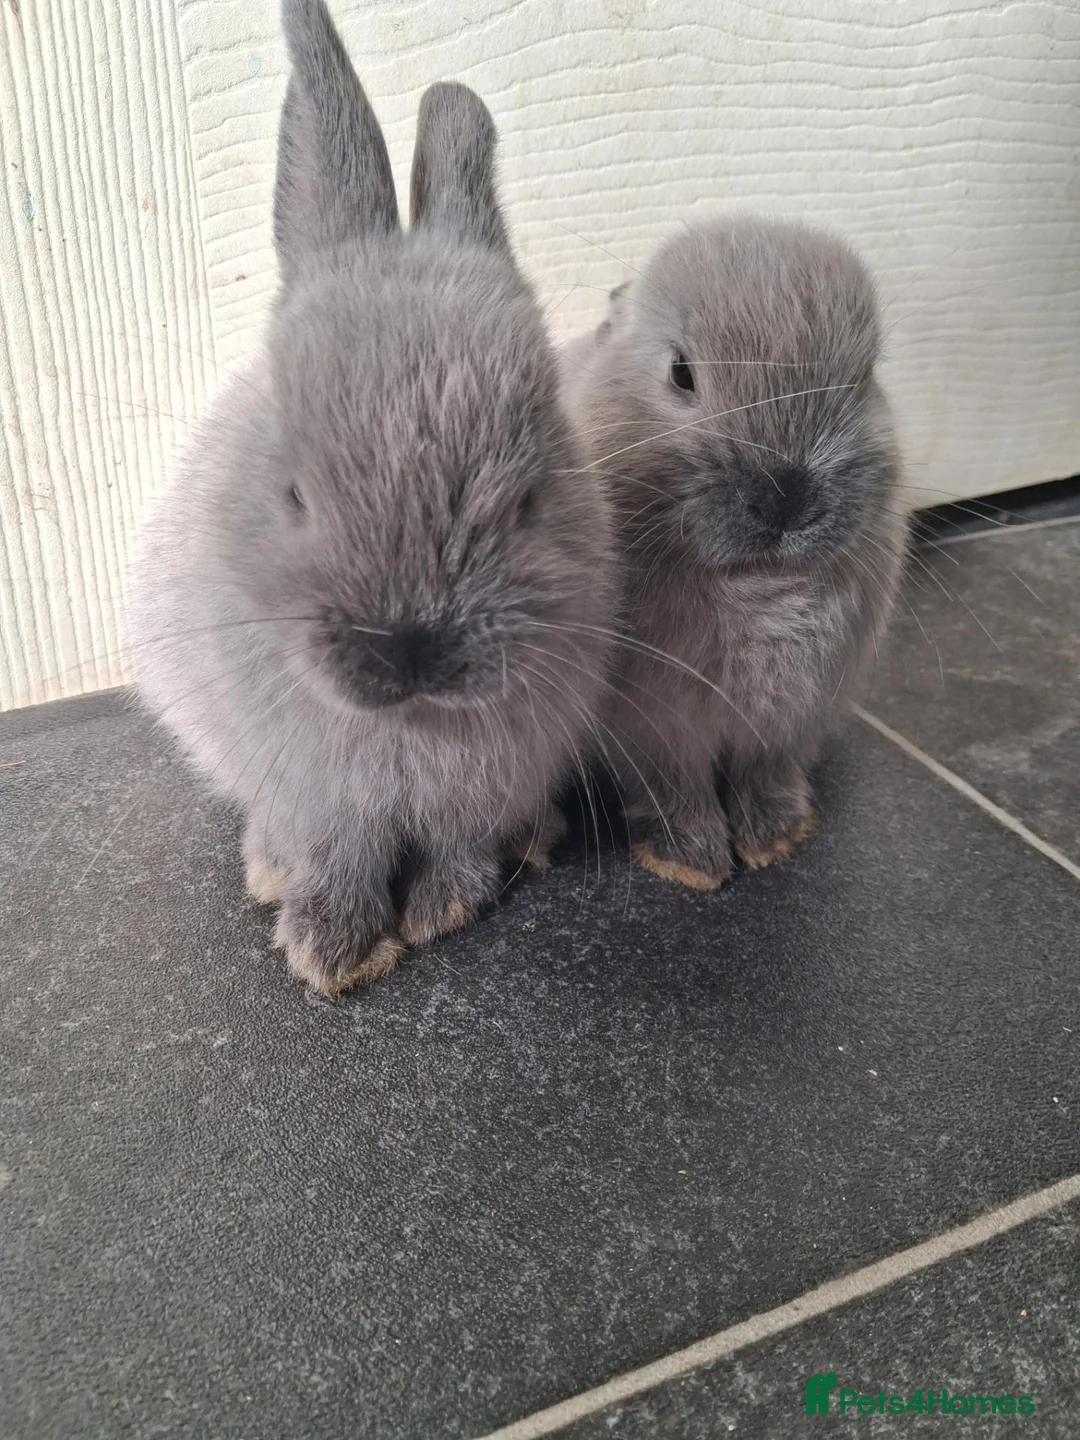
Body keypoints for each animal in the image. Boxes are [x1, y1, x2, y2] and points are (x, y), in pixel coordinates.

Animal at [127, 0, 614, 994]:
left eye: (528, 500)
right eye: (294, 494)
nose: (412, 648)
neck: (412, 723)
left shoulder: (487, 787)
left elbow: (462, 848)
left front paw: (441, 911)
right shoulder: (321, 797)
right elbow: (339, 858)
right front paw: (333, 952)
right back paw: (269, 872)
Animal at [560, 216, 904, 889]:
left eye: (862, 380)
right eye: (681, 373)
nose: (784, 497)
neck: (758, 581)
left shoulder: (787, 723)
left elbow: (765, 775)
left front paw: (776, 839)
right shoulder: (656, 731)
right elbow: (678, 791)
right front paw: (693, 863)